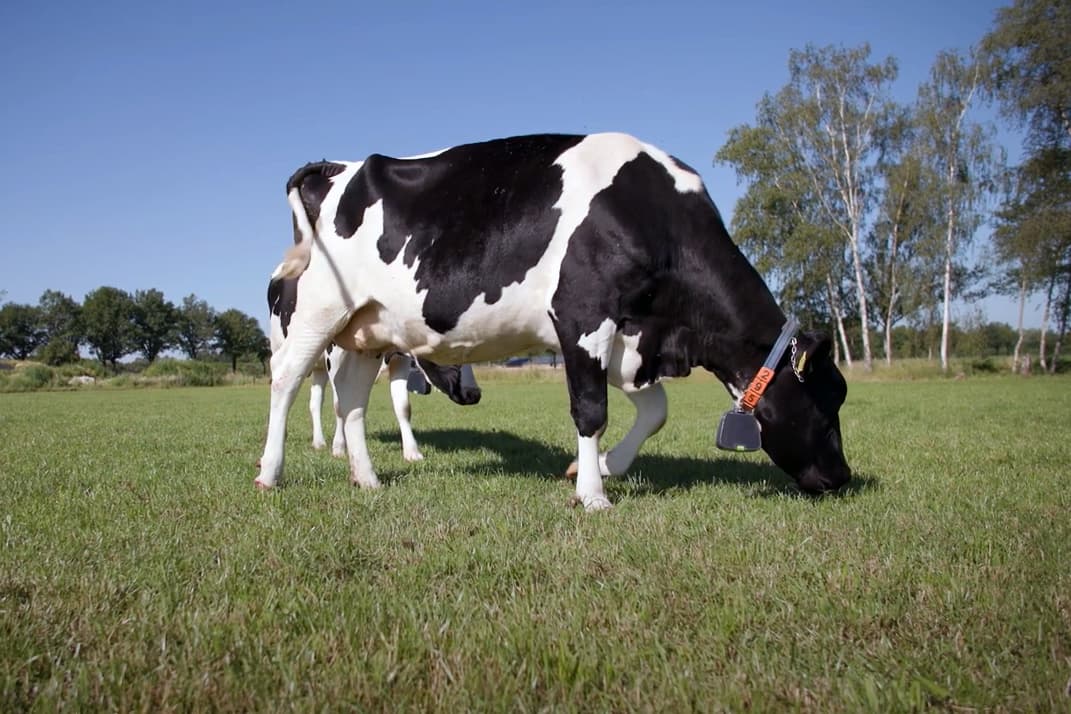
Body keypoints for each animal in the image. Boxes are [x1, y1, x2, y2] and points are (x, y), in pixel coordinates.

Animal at [267, 276, 480, 461]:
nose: (474, 394)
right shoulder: (334, 356)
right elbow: (339, 406)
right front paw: (339, 447)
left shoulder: (399, 359)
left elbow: (403, 407)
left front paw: (412, 452)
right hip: (284, 347)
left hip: (318, 368)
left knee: (315, 402)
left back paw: (319, 442)